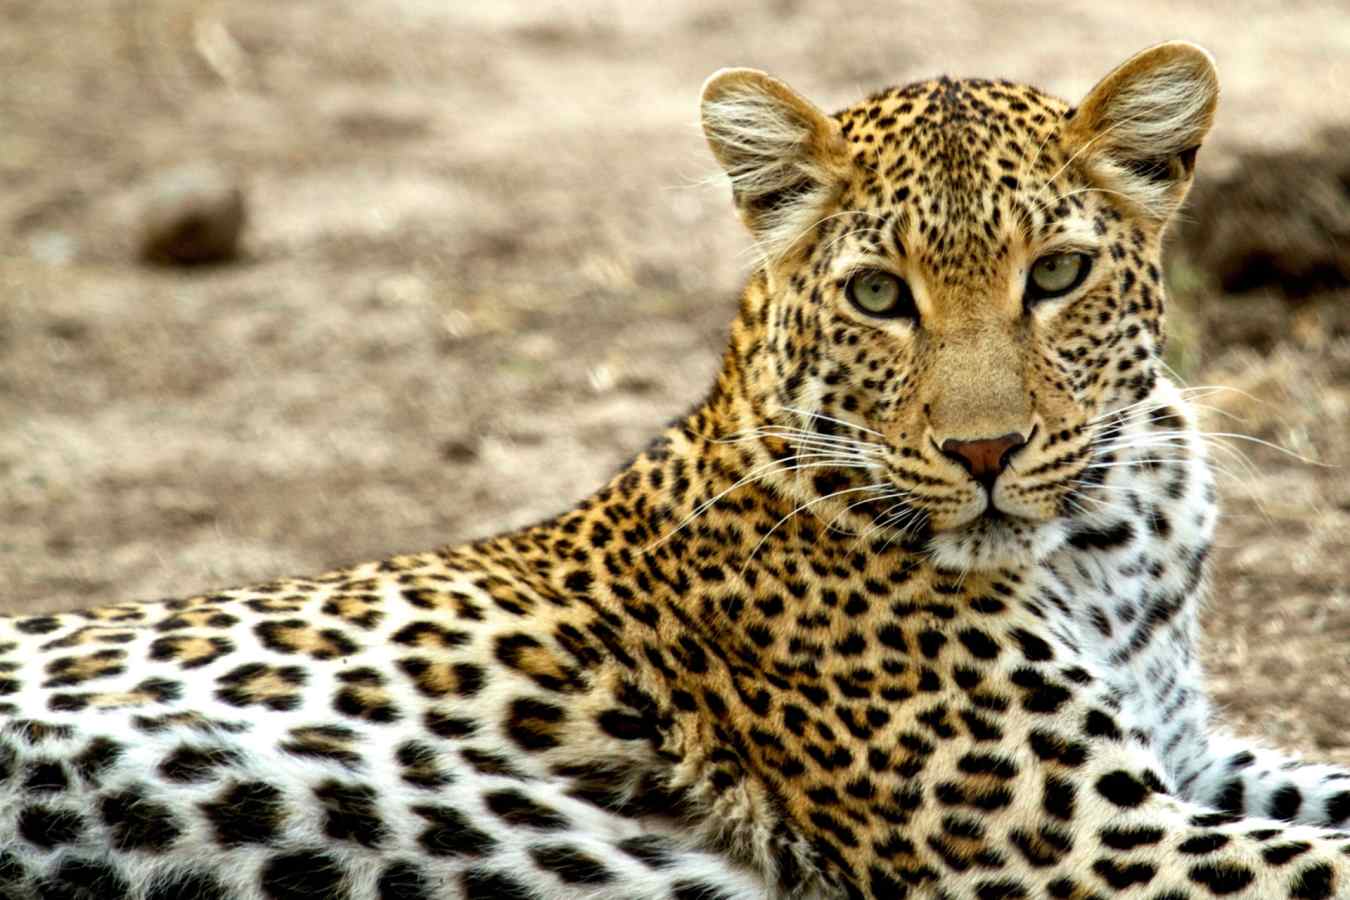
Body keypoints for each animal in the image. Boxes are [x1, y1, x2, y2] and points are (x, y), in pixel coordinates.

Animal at [1, 40, 1348, 900]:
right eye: (879, 295)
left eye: (1057, 275)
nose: (984, 453)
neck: (1109, 536)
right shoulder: (1083, 843)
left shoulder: (1186, 758)